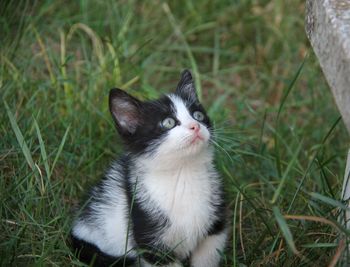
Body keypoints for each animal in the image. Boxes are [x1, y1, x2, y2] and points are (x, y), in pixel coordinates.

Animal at [71, 70, 230, 266]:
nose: (196, 126)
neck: (183, 173)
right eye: (168, 122)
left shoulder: (215, 229)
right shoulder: (150, 239)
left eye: (198, 116)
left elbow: (207, 258)